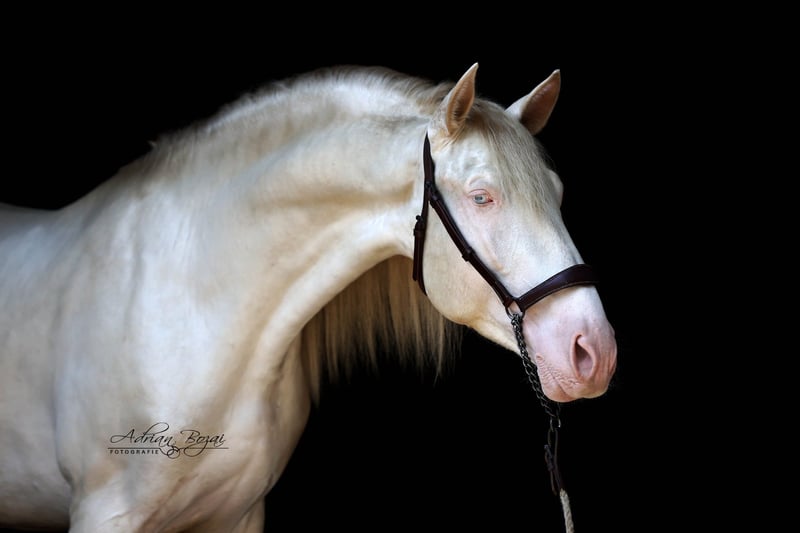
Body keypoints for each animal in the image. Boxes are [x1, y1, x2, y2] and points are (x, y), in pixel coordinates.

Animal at [0, 63, 617, 532]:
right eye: (482, 196)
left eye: (557, 192)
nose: (595, 351)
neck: (189, 305)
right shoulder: (105, 513)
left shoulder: (238, 515)